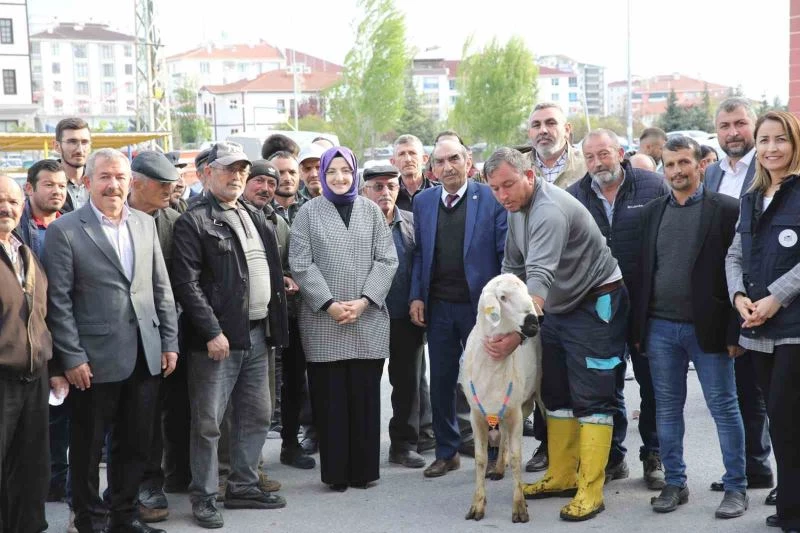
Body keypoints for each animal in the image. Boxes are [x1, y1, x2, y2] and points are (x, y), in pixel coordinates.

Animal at [460, 272, 540, 520]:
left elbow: (516, 458)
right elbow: (480, 459)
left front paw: (519, 506)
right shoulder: (476, 415)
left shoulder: (516, 413)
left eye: (526, 291)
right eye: (502, 297)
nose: (534, 322)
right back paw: (497, 469)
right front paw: (477, 505)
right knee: (502, 434)